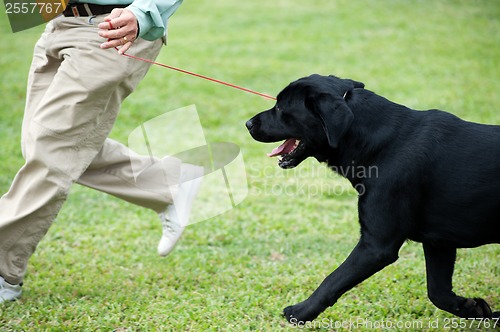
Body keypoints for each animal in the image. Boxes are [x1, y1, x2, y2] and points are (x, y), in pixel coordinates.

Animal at [246, 74, 500, 324]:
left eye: (280, 107)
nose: (248, 123)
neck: (378, 143)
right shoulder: (438, 242)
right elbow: (438, 292)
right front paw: (474, 308)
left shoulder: (376, 245)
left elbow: (333, 280)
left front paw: (300, 312)